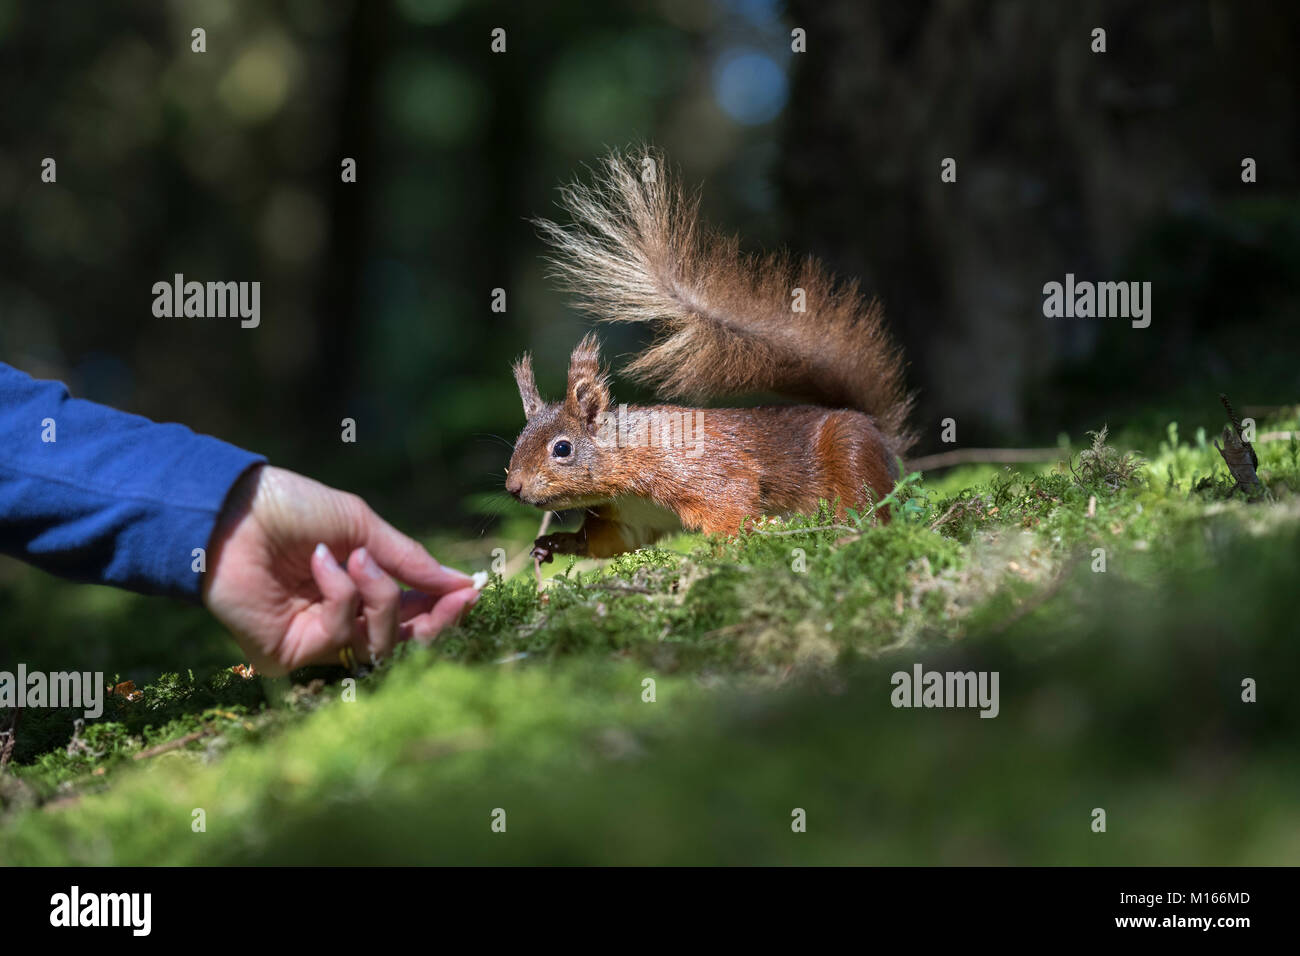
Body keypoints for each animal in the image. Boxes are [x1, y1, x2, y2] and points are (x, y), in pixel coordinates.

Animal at [505, 148, 914, 562]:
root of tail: (879, 434)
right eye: (520, 438)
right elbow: (610, 542)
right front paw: (553, 543)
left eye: (563, 448)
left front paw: (726, 549)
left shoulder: (699, 469)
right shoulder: (631, 515)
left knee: (869, 506)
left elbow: (730, 503)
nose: (513, 487)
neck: (627, 457)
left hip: (851, 452)